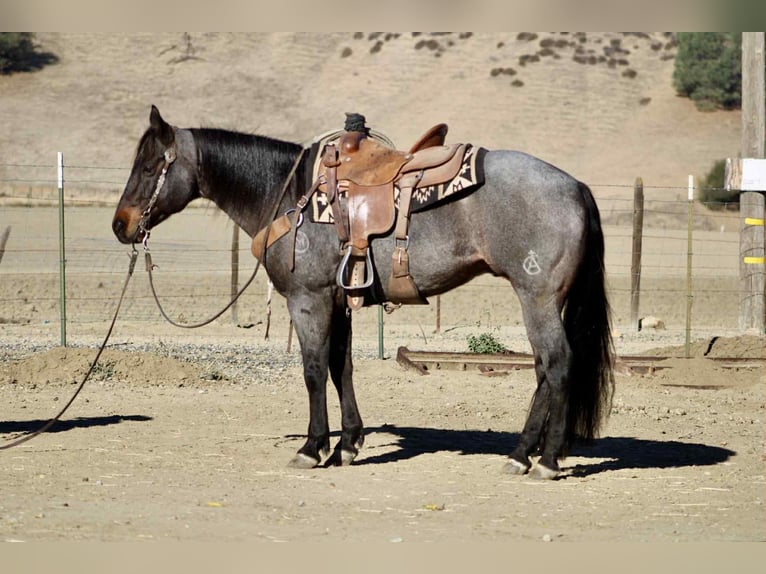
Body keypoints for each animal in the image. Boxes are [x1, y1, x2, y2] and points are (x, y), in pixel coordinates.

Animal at [112, 105, 614, 480]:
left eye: (151, 166)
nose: (121, 225)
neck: (289, 195)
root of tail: (576, 187)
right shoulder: (340, 302)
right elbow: (342, 367)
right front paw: (347, 446)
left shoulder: (309, 299)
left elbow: (314, 370)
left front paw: (313, 447)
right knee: (544, 369)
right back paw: (521, 454)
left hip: (538, 297)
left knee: (557, 365)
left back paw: (544, 460)